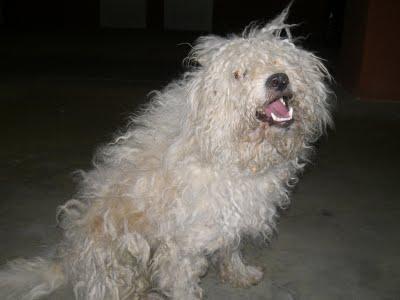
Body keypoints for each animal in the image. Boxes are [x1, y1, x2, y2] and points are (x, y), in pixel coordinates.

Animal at [0, 7, 332, 300]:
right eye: (239, 74)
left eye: (280, 60)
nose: (279, 79)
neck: (230, 150)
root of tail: (68, 260)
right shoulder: (181, 247)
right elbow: (182, 283)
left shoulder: (229, 217)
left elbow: (230, 249)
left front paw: (239, 274)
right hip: (118, 254)